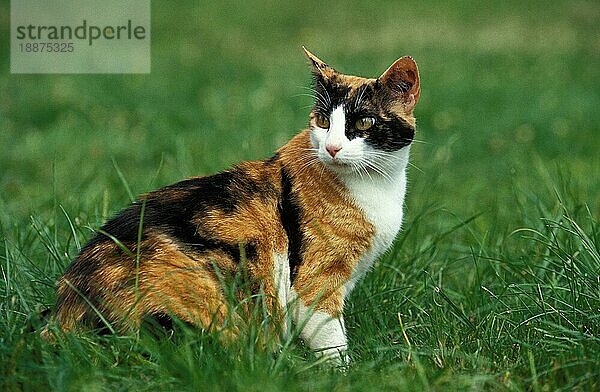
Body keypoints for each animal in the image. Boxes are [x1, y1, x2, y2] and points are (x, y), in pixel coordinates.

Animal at [43, 49, 422, 364]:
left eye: (364, 123)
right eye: (324, 121)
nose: (331, 148)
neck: (375, 186)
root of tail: (64, 312)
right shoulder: (315, 280)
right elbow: (330, 335)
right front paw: (340, 372)